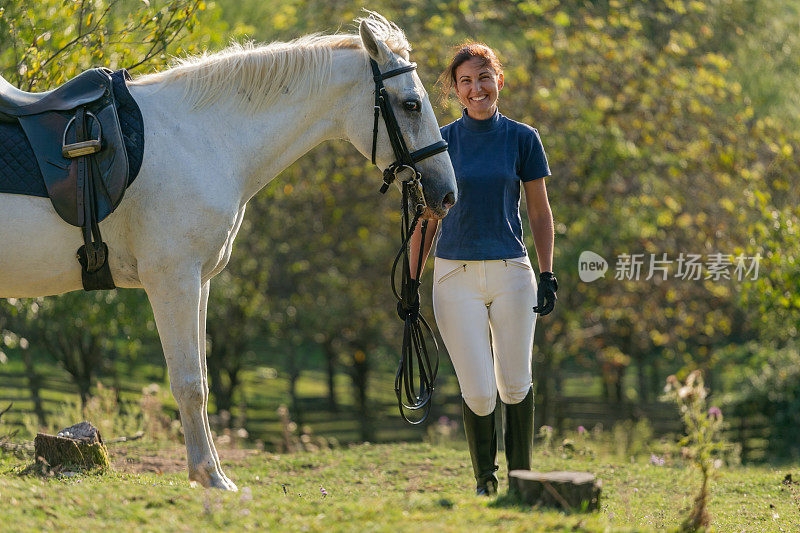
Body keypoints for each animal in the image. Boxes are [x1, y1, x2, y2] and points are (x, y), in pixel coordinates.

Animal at [0, 14, 456, 488]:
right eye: (411, 105)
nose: (446, 194)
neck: (200, 141)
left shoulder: (198, 282)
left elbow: (200, 381)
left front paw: (211, 472)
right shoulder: (173, 281)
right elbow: (188, 383)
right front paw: (209, 476)